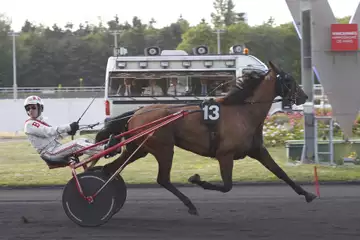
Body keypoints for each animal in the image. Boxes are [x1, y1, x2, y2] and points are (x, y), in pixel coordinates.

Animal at [94, 61, 316, 215]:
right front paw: (196, 179)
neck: (243, 112)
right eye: (288, 79)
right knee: (162, 179)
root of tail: (137, 112)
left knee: (110, 169)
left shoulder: (257, 150)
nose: (304, 96)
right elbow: (226, 186)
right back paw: (190, 205)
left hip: (139, 149)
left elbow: (281, 172)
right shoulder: (225, 155)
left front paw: (308, 194)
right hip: (163, 148)